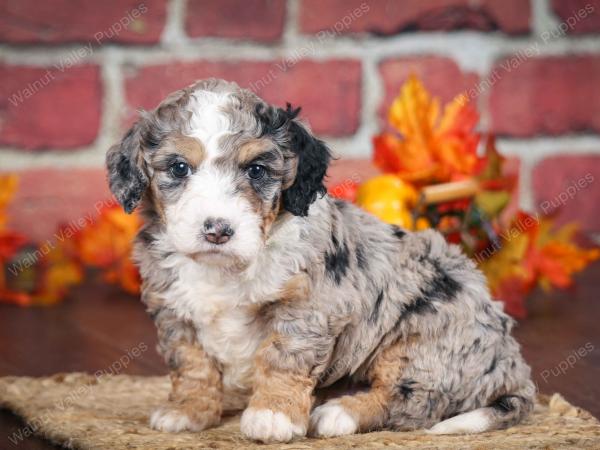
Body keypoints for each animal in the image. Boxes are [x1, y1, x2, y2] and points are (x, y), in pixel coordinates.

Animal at [106, 78, 536, 442]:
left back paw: (338, 413)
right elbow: (192, 365)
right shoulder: (175, 313)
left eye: (257, 170)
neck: (225, 269)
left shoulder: (307, 308)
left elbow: (282, 359)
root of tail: (512, 364)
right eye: (179, 168)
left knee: (412, 400)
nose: (217, 229)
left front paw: (272, 415)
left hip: (422, 341)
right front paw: (188, 411)